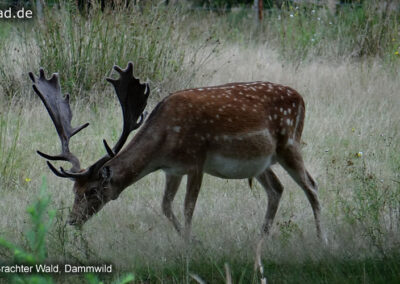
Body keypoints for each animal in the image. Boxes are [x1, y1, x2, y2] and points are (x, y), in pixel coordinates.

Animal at [31, 62, 324, 248]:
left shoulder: (196, 161)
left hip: (290, 143)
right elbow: (166, 206)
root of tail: (301, 98)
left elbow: (187, 207)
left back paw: (323, 240)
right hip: (261, 162)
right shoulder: (172, 170)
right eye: (74, 191)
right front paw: (190, 241)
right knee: (277, 189)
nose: (72, 220)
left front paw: (190, 246)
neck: (165, 143)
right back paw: (260, 240)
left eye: (92, 191)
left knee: (311, 185)